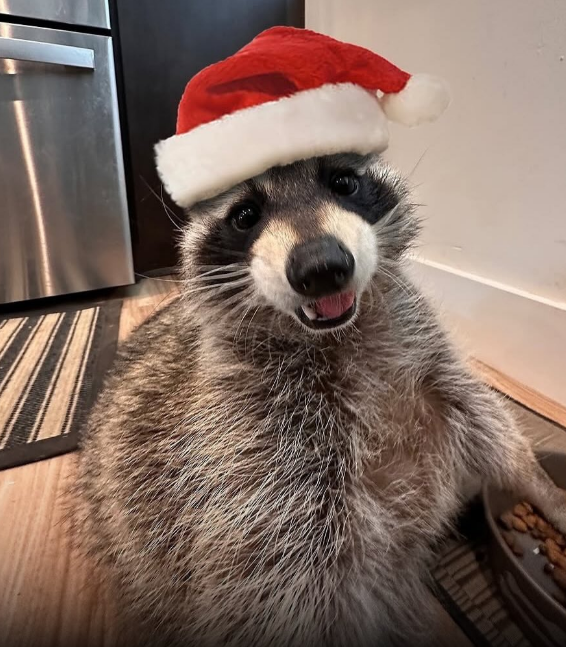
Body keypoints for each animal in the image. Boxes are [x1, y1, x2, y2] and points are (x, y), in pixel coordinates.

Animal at [73, 153, 566, 647]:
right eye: (245, 215)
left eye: (343, 182)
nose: (321, 267)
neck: (338, 335)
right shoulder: (249, 454)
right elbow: (284, 585)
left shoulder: (426, 354)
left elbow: (484, 417)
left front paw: (541, 485)